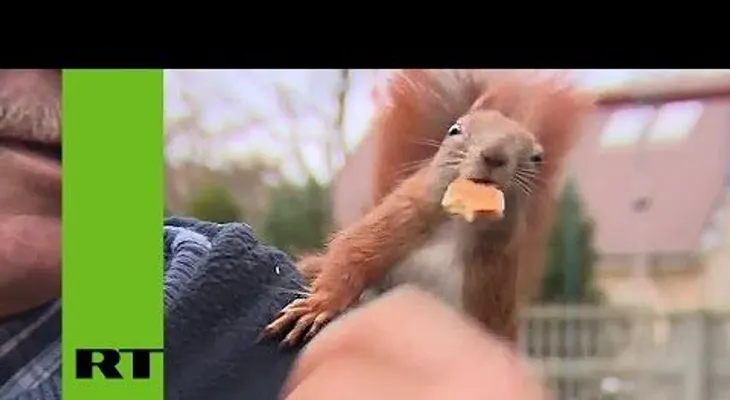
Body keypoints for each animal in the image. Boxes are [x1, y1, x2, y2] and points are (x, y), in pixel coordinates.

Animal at [263, 69, 594, 347]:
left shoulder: (493, 276)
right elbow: (352, 252)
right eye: (455, 130)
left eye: (537, 158)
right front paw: (320, 305)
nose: (494, 155)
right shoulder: (402, 215)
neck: (460, 225)